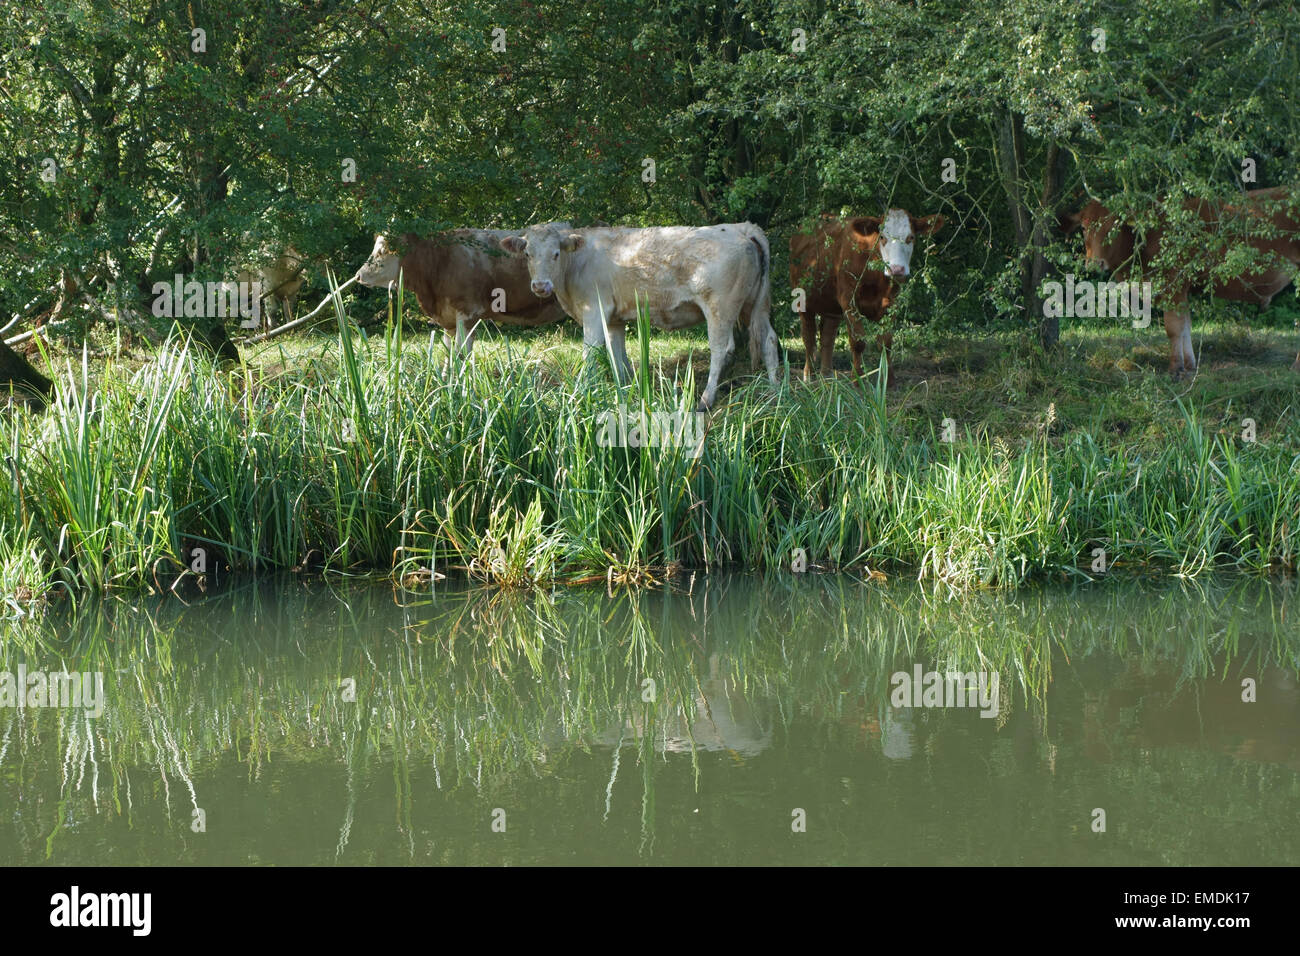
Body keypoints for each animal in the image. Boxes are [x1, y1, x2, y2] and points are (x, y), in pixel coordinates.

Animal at [354, 230, 567, 354]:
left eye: (382, 251)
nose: (358, 275)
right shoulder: (448, 319)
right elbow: (449, 354)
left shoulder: (468, 312)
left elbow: (461, 354)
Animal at [499, 222, 780, 410]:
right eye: (528, 254)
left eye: (556, 254)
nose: (540, 286)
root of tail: (741, 227)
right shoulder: (614, 319)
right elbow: (616, 356)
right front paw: (623, 389)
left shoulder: (594, 310)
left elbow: (590, 354)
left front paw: (581, 392)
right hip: (754, 305)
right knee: (769, 340)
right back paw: (775, 388)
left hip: (721, 307)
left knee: (721, 348)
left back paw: (705, 400)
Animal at [789, 209, 944, 385]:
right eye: (882, 237)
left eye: (911, 237)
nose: (896, 269)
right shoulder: (849, 300)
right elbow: (858, 342)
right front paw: (857, 380)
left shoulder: (891, 303)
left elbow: (886, 343)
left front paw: (888, 381)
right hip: (803, 300)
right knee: (808, 337)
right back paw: (808, 376)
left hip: (831, 307)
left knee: (827, 336)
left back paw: (827, 375)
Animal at [1061, 186, 1300, 377]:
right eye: (1084, 228)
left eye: (1113, 226)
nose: (1095, 263)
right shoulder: (1183, 289)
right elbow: (1185, 326)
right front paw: (1190, 365)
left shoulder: (1172, 284)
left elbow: (1173, 328)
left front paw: (1175, 368)